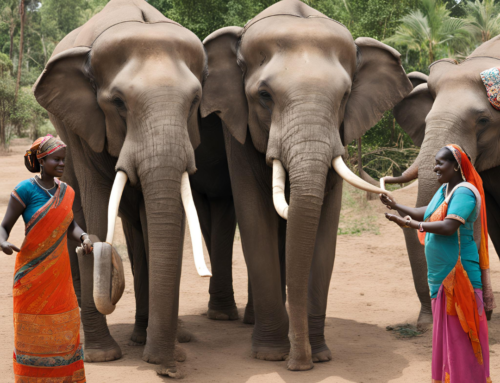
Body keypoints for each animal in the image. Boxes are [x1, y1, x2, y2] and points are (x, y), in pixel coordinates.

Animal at [33, 0, 208, 378]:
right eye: (118, 103)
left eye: (195, 102)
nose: (169, 370)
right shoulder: (82, 128)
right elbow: (97, 202)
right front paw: (103, 356)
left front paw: (167, 352)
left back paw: (151, 336)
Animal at [200, 0, 414, 372]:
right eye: (264, 96)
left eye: (345, 95)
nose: (299, 364)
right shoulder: (237, 127)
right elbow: (254, 217)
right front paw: (271, 355)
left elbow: (325, 230)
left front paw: (321, 355)